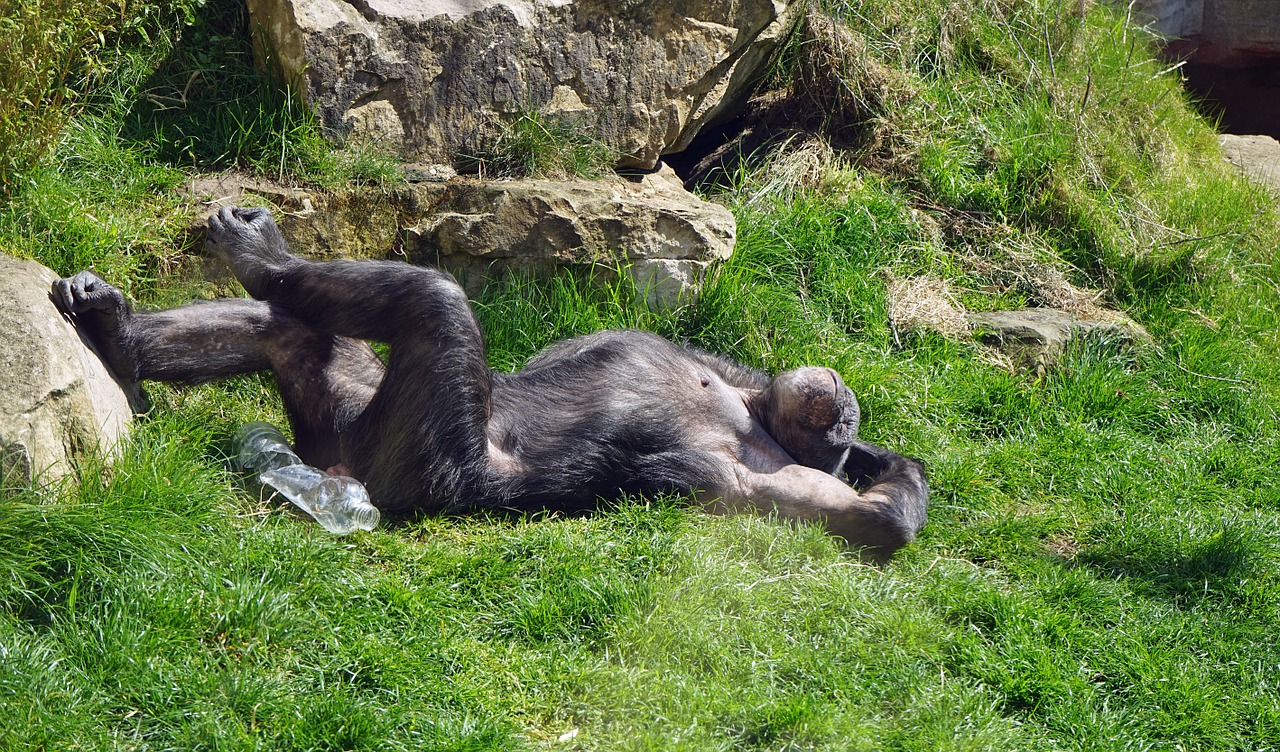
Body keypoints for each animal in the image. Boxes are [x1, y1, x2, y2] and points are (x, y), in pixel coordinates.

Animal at [55, 205, 926, 557]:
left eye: (839, 416)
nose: (843, 401)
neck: (753, 415)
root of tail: (334, 462)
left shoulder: (775, 482)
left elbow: (870, 520)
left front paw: (875, 469)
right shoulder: (725, 364)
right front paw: (880, 455)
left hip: (413, 449)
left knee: (431, 300)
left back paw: (261, 256)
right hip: (346, 398)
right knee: (286, 327)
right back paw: (120, 338)